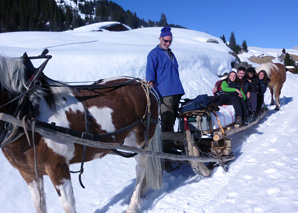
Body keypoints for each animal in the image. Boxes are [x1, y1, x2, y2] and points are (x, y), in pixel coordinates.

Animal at [0, 54, 162, 212]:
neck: (27, 110)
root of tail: (144, 84)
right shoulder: (28, 172)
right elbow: (39, 205)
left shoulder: (57, 167)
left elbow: (68, 206)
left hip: (140, 140)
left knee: (140, 169)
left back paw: (133, 205)